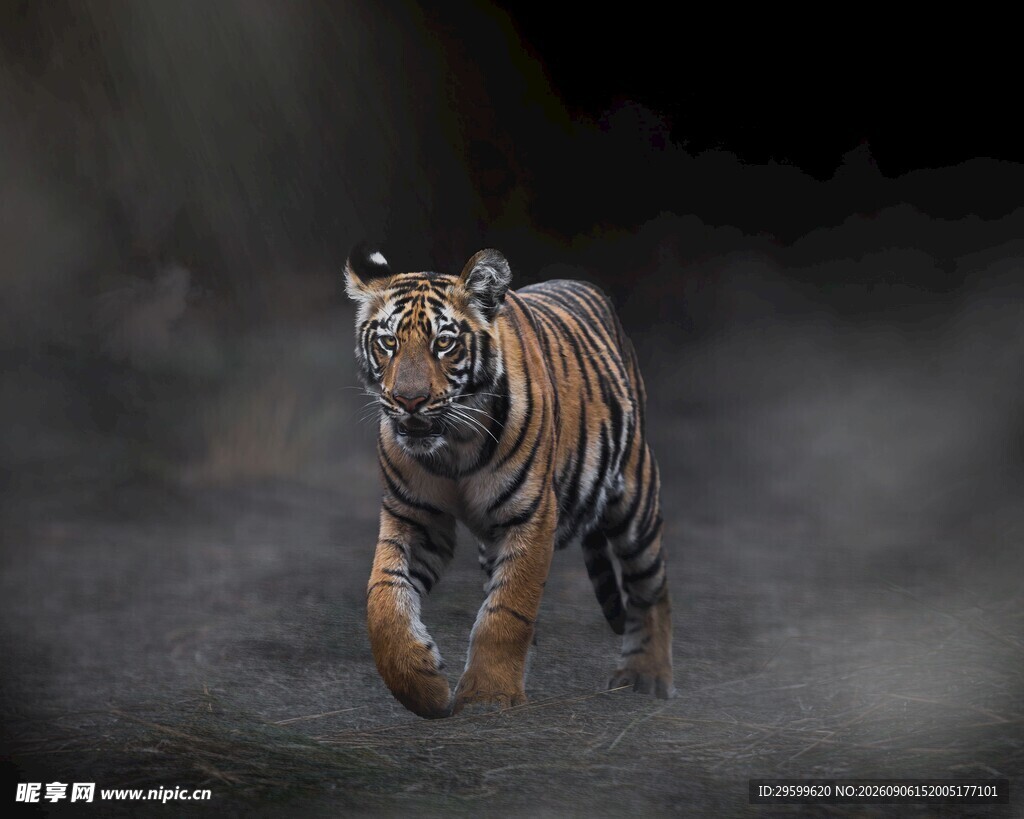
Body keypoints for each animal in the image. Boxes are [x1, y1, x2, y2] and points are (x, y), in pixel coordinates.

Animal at [345, 244, 674, 718]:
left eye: (443, 343)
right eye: (388, 342)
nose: (409, 401)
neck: (453, 447)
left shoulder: (531, 514)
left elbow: (508, 610)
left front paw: (488, 695)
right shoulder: (414, 517)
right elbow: (384, 599)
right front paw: (423, 686)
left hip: (634, 498)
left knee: (651, 588)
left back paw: (648, 676)